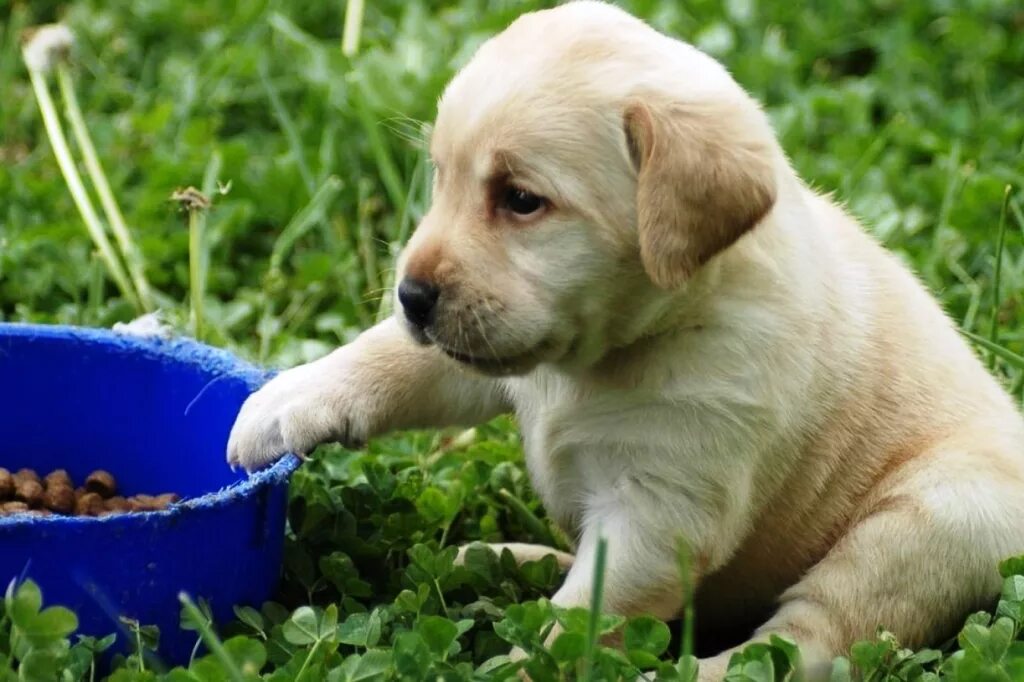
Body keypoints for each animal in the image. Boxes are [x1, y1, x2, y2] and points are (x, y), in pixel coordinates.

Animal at [228, 2, 1024, 675]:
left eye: (521, 200)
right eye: (441, 178)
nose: (412, 296)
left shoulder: (660, 509)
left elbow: (577, 624)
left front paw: (519, 667)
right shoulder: (483, 355)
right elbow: (391, 357)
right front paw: (281, 403)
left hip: (934, 518)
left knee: (809, 643)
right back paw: (503, 557)